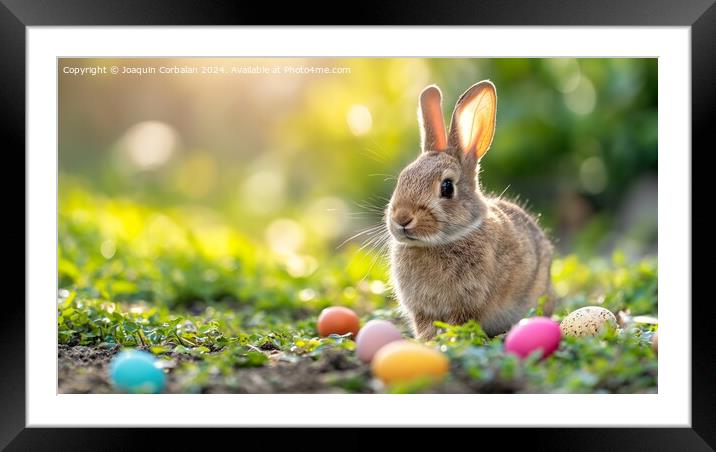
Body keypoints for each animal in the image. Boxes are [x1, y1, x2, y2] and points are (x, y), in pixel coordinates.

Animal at [386, 82, 552, 340]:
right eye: (402, 178)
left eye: (447, 187)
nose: (402, 218)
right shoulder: (422, 310)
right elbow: (425, 326)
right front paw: (426, 342)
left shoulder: (469, 302)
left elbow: (460, 321)